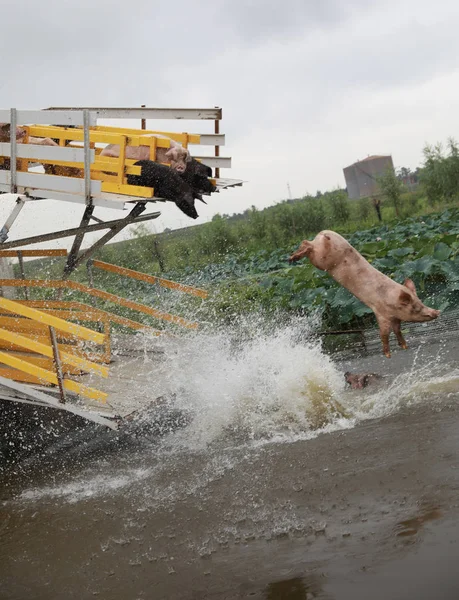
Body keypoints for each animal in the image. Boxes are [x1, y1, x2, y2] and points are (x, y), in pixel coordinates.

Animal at [290, 230, 440, 356]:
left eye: (420, 301)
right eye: (416, 308)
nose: (437, 312)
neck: (391, 300)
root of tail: (326, 233)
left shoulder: (395, 318)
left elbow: (398, 330)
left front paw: (404, 347)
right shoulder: (381, 313)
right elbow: (384, 333)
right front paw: (388, 355)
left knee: (306, 242)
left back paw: (292, 257)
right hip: (320, 259)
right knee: (306, 244)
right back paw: (292, 258)